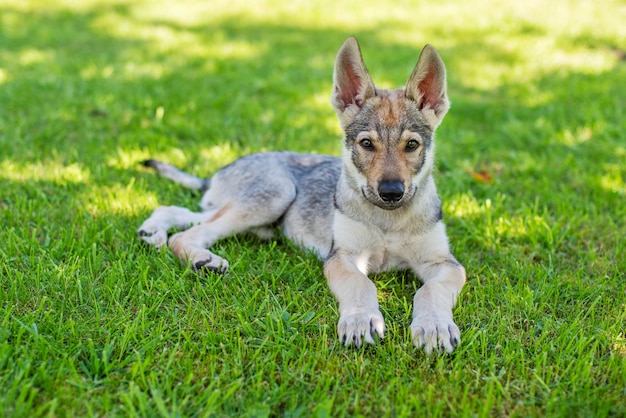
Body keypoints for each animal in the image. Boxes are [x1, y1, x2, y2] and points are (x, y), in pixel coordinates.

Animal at [139, 37, 466, 354]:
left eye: (411, 145)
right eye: (366, 144)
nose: (391, 193)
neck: (388, 221)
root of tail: (224, 168)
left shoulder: (445, 263)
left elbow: (430, 289)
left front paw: (434, 326)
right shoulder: (342, 257)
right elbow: (361, 284)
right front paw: (361, 319)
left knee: (178, 212)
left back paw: (152, 232)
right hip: (275, 195)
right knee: (186, 234)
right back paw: (201, 258)